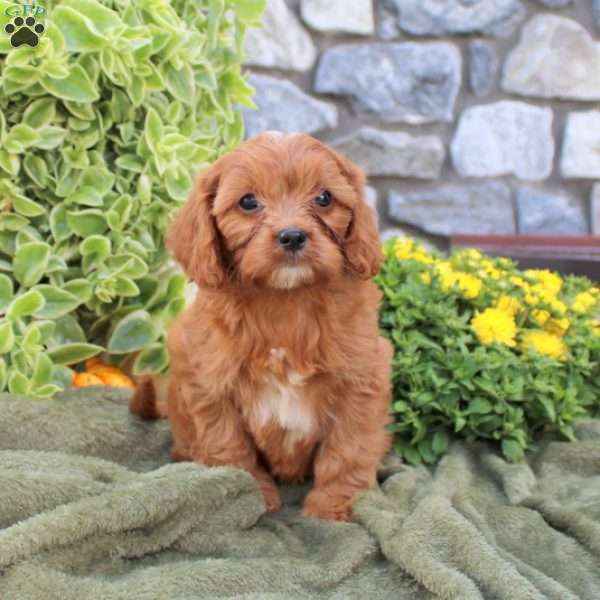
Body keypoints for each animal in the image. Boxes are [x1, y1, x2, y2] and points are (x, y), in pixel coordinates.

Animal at [131, 132, 394, 520]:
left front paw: (332, 507)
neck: (285, 301)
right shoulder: (210, 382)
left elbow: (347, 449)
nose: (292, 236)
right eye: (248, 202)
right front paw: (249, 496)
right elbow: (229, 444)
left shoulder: (362, 379)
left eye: (324, 198)